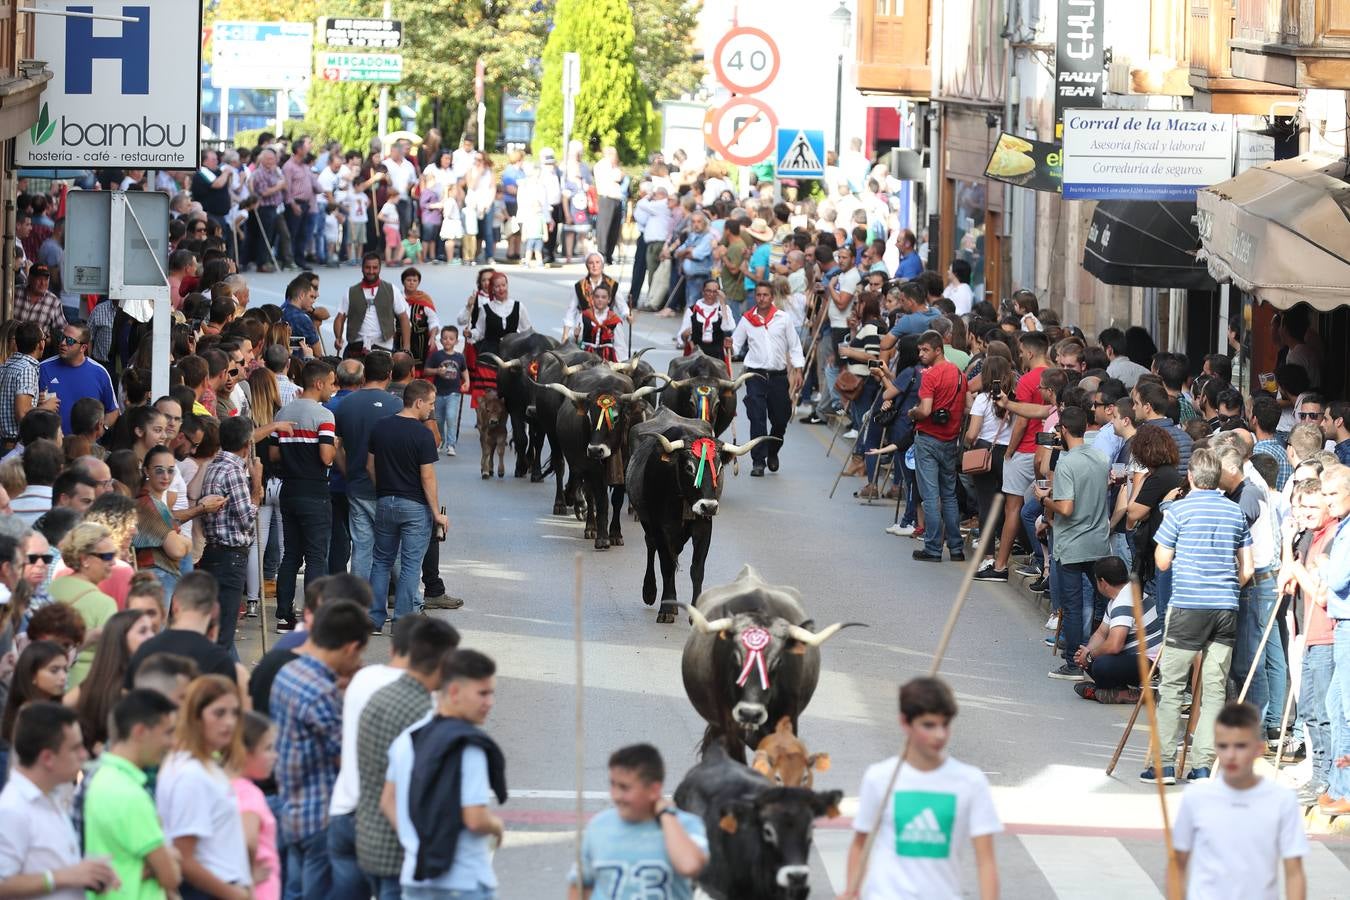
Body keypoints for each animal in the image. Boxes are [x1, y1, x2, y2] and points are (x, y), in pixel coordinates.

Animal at [542, 364, 658, 550]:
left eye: (615, 417)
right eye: (589, 416)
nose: (596, 450)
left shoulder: (624, 468)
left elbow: (617, 500)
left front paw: (616, 534)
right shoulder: (593, 468)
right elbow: (601, 500)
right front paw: (602, 537)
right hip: (559, 443)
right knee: (571, 477)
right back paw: (585, 522)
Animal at [623, 410, 772, 626]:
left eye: (719, 468)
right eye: (689, 468)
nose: (708, 506)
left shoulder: (704, 527)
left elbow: (697, 569)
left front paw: (695, 612)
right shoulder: (660, 528)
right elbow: (666, 565)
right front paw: (666, 609)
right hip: (645, 520)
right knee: (651, 546)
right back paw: (650, 592)